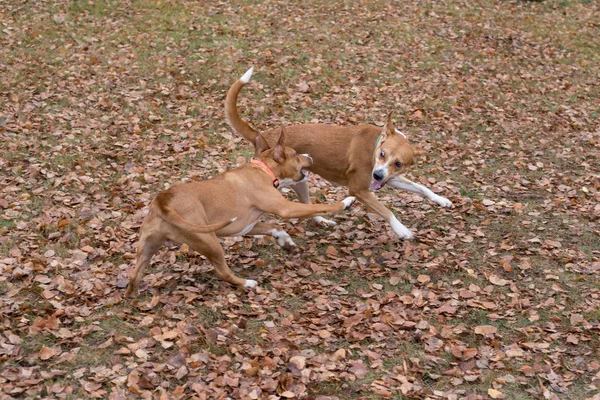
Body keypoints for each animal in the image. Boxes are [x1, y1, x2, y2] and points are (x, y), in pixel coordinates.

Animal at [225, 67, 450, 239]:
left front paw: (441, 199)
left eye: (399, 163)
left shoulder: (391, 178)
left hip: (300, 182)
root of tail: (262, 136)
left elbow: (421, 187)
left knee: (309, 208)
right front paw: (401, 230)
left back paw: (322, 221)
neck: (374, 146)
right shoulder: (359, 190)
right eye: (383, 154)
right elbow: (387, 211)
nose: (377, 175)